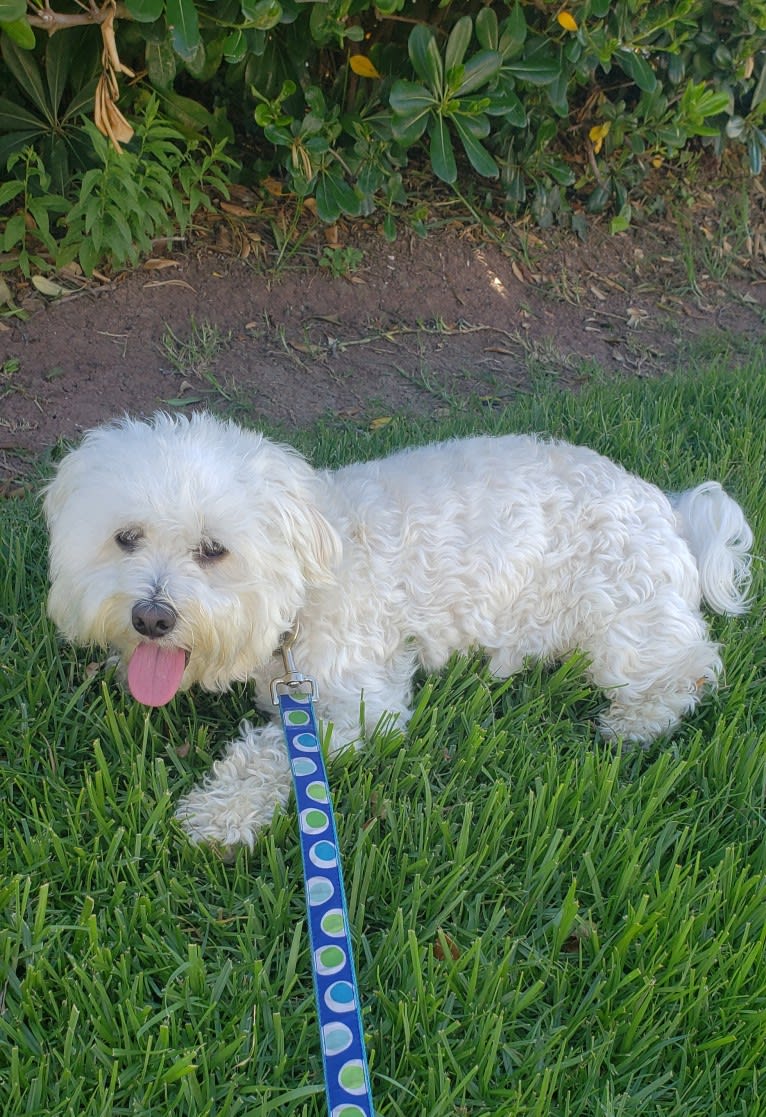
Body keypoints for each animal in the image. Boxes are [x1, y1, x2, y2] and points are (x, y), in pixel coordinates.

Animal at [44, 415, 754, 848]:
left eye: (214, 550)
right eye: (125, 537)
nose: (151, 617)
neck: (310, 581)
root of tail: (668, 507)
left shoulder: (360, 703)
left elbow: (271, 750)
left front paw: (220, 813)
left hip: (621, 619)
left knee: (692, 665)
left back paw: (637, 721)